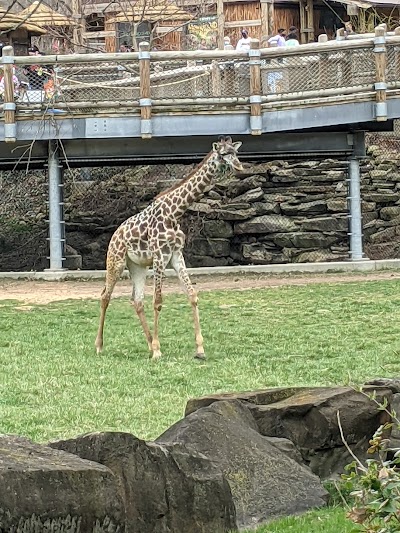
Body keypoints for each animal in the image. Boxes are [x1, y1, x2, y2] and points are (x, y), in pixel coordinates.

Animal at [94, 136, 244, 362]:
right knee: (105, 296)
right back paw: (100, 346)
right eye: (223, 154)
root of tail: (114, 235)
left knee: (137, 300)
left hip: (138, 266)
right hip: (116, 261)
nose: (240, 167)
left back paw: (148, 344)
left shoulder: (175, 255)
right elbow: (158, 301)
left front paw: (200, 349)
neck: (175, 212)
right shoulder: (160, 255)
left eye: (235, 153)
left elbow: (192, 295)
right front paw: (158, 351)